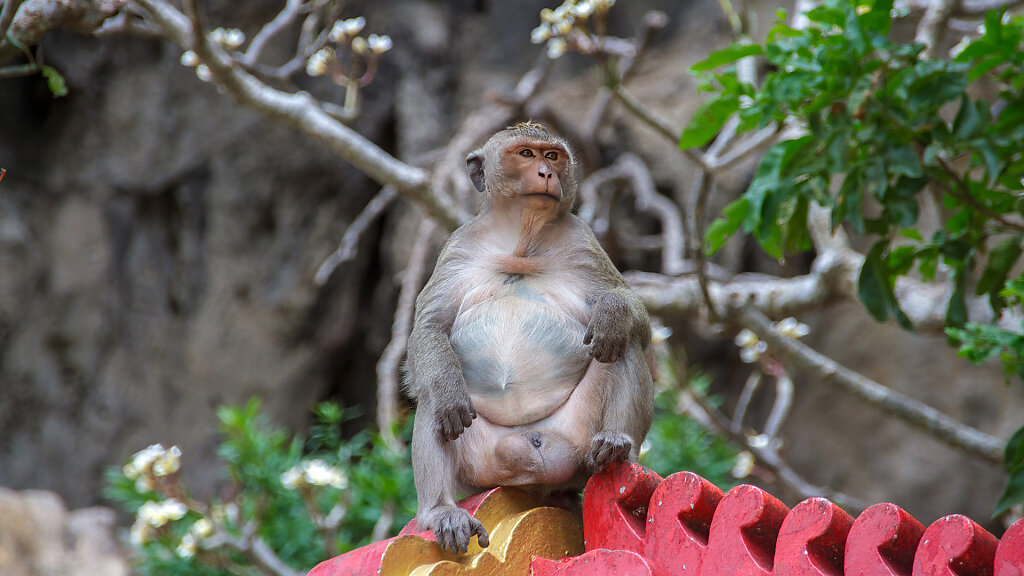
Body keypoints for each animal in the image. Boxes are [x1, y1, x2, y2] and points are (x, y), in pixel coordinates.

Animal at [403, 119, 651, 553]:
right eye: (525, 154)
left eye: (552, 155)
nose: (546, 173)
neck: (522, 238)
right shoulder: (458, 247)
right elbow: (429, 329)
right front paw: (448, 388)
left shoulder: (583, 241)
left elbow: (635, 318)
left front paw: (612, 312)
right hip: (481, 463)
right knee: (433, 396)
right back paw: (440, 511)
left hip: (576, 440)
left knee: (621, 344)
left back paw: (618, 443)